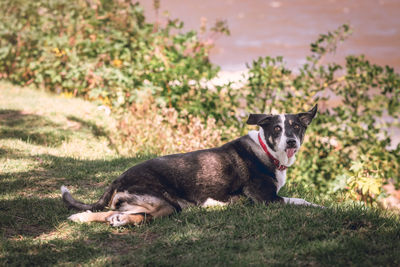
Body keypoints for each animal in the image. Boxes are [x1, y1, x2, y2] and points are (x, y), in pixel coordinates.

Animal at [61, 104, 318, 226]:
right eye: (277, 129)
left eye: (296, 127)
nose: (291, 141)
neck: (267, 150)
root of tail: (119, 178)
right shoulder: (267, 199)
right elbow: (302, 200)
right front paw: (320, 207)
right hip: (163, 202)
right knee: (127, 214)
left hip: (157, 206)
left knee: (117, 214)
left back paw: (92, 219)